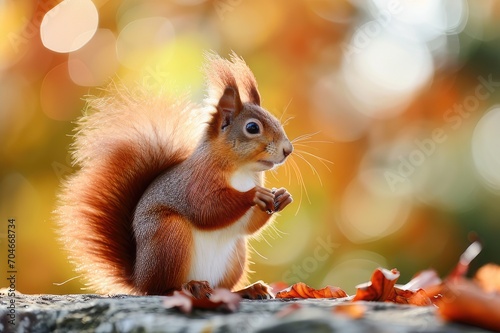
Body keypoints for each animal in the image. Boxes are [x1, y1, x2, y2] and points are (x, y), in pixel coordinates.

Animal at [56, 52, 292, 298]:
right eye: (252, 128)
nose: (288, 149)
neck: (242, 170)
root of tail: (139, 277)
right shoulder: (196, 181)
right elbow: (206, 209)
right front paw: (254, 194)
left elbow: (248, 227)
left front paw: (282, 197)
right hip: (169, 238)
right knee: (160, 290)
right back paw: (190, 287)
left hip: (236, 255)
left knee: (222, 290)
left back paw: (247, 290)